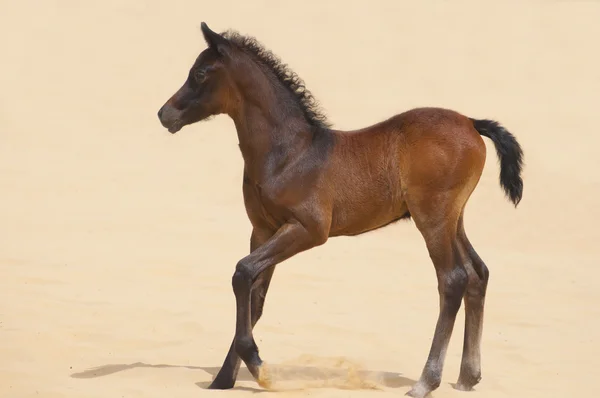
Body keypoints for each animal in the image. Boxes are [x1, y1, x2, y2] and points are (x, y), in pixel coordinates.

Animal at [157, 22, 524, 398]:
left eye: (200, 73)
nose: (164, 114)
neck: (288, 154)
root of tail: (471, 122)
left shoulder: (309, 229)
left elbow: (242, 272)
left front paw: (258, 365)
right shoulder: (262, 230)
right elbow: (254, 294)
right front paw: (224, 379)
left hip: (432, 219)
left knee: (452, 280)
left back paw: (426, 381)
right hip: (453, 218)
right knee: (477, 273)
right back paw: (468, 376)